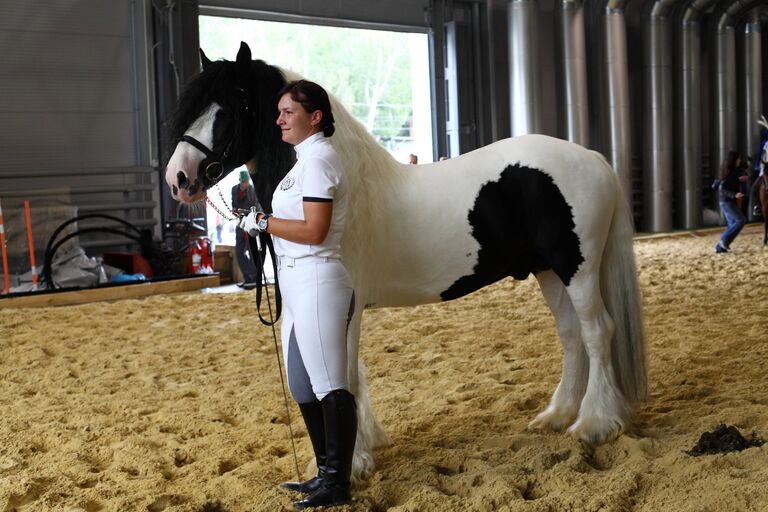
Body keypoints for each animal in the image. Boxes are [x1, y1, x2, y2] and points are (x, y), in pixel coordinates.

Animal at [164, 42, 648, 482]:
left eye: (233, 106)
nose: (178, 178)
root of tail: (593, 158)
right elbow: (347, 372)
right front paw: (360, 449)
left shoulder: (345, 304)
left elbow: (342, 373)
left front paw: (353, 463)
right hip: (549, 271)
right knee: (572, 335)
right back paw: (558, 415)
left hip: (577, 268)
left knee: (597, 332)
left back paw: (595, 424)